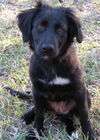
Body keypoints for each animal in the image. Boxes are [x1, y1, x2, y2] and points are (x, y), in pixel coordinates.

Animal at [13, 1, 94, 140]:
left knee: (68, 117)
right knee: (38, 108)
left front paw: (89, 134)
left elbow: (84, 116)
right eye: (40, 26)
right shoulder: (37, 89)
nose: (47, 48)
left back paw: (71, 130)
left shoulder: (79, 90)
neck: (51, 64)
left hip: (85, 96)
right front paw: (36, 132)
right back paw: (28, 116)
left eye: (60, 30)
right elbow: (39, 114)